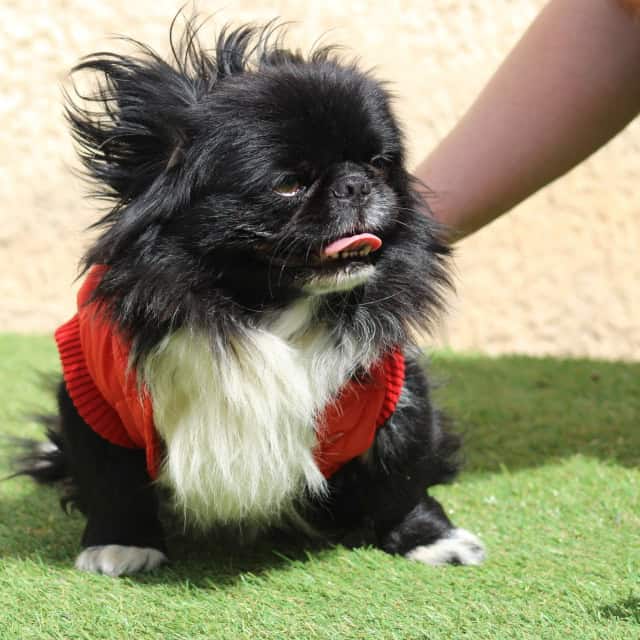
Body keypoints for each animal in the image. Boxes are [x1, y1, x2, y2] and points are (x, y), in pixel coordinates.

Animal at [15, 17, 484, 576]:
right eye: (288, 185)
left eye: (378, 163)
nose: (355, 183)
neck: (267, 309)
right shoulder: (96, 398)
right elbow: (112, 479)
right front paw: (121, 544)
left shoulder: (397, 392)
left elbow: (403, 476)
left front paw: (430, 538)